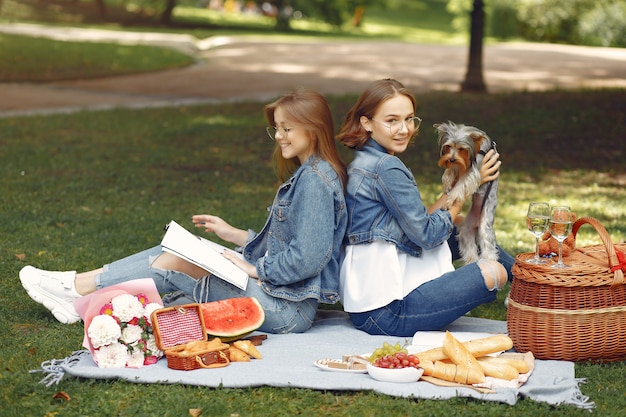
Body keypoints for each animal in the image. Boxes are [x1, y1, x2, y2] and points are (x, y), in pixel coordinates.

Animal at [434, 121, 498, 264]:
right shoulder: (460, 163)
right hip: (466, 230)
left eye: (462, 149)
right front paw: (448, 181)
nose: (451, 159)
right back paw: (472, 261)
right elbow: (452, 170)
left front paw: (449, 201)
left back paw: (488, 260)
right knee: (467, 243)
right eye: (448, 146)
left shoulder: (474, 169)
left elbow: (460, 185)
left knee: (487, 244)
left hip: (485, 225)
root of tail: (477, 225)